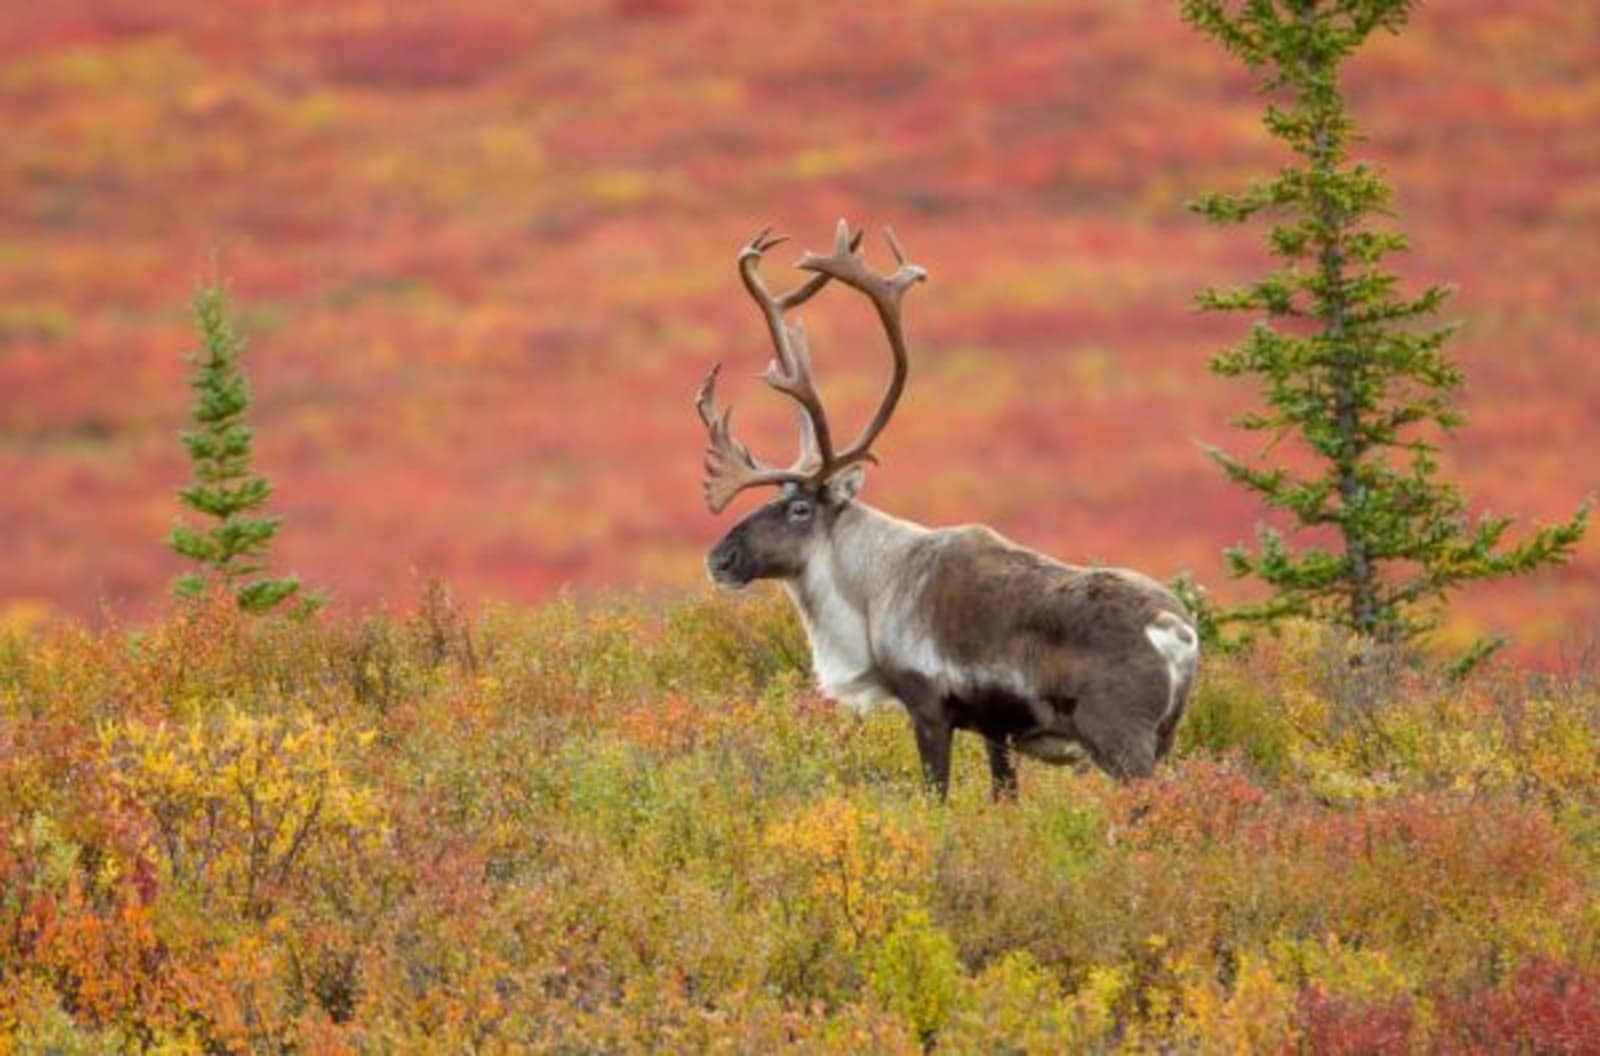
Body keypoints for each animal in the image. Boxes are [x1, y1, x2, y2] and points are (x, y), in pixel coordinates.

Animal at [696, 220, 1199, 800]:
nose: (720, 558)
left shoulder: (929, 707)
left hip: (1120, 738)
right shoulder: (995, 727)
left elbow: (936, 795)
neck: (874, 587)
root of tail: (1177, 629)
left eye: (799, 508)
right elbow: (1004, 794)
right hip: (1166, 737)